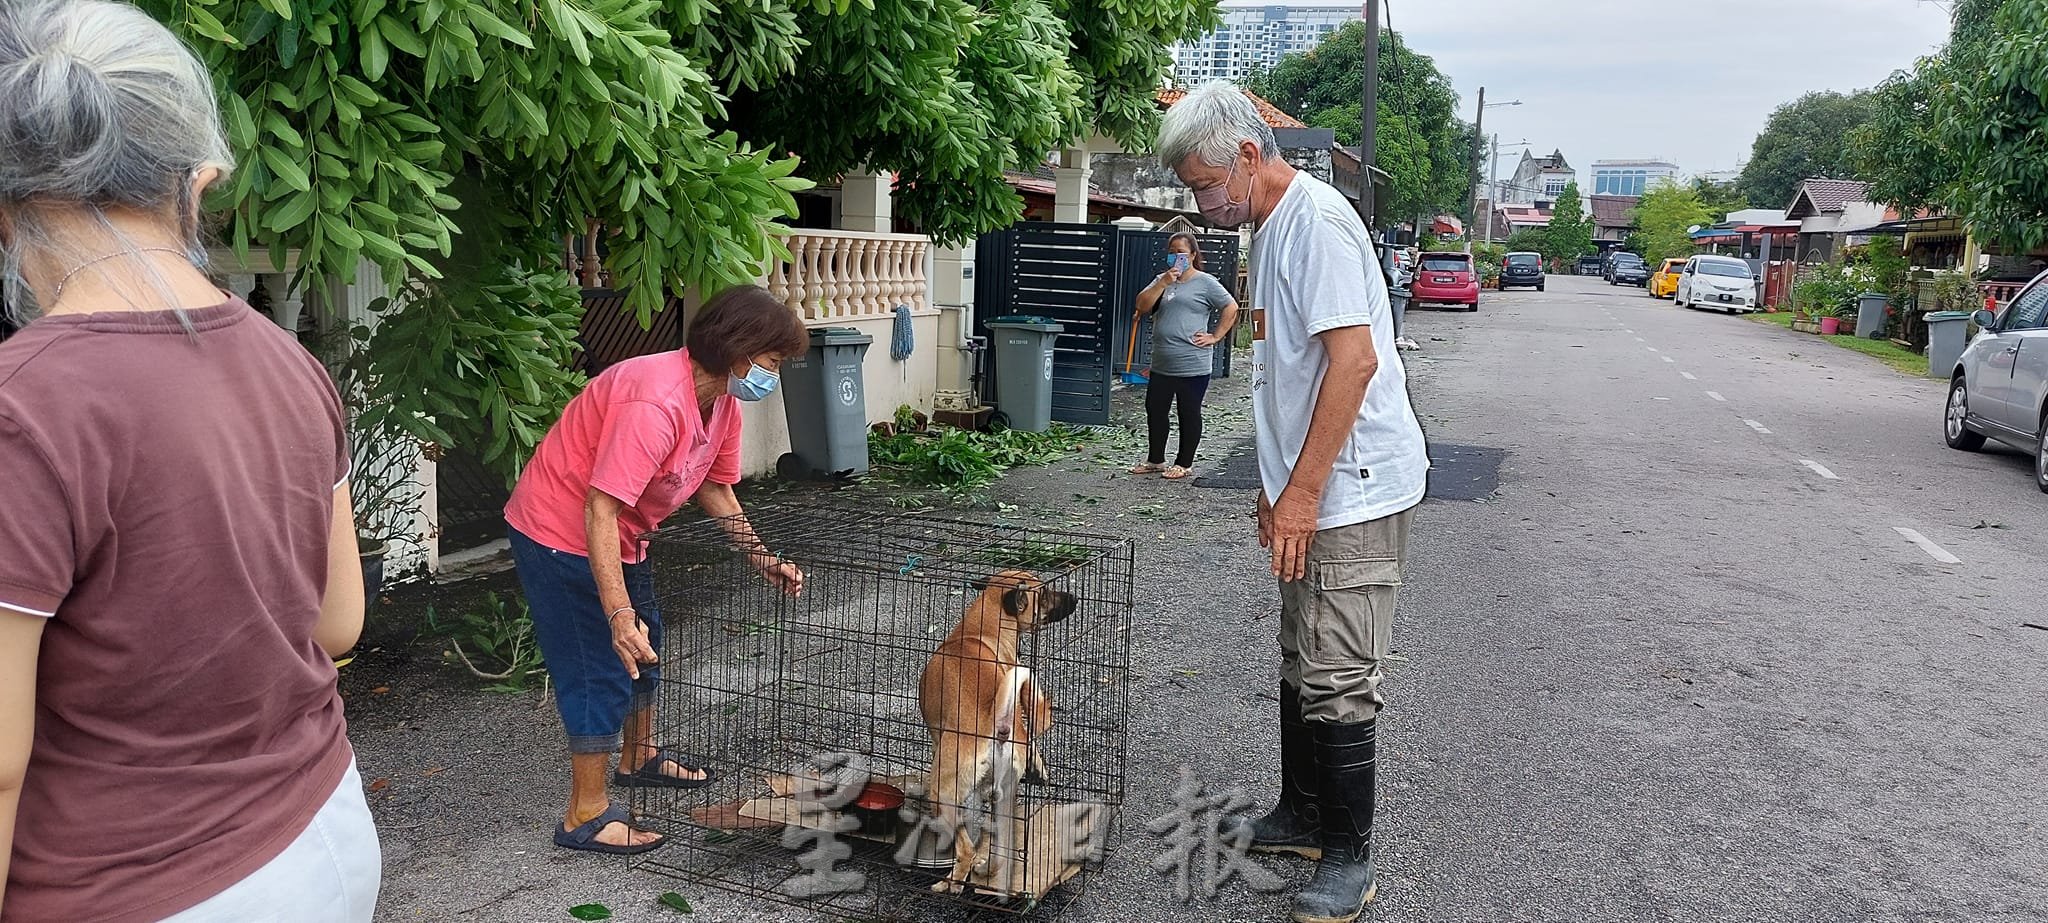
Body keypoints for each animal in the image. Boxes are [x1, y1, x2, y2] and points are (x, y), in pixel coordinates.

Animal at [913, 568, 1073, 892]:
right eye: (1045, 593)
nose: (1074, 599)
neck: (979, 630)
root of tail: (993, 725)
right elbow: (1035, 737)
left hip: (941, 792)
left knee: (966, 850)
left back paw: (951, 883)